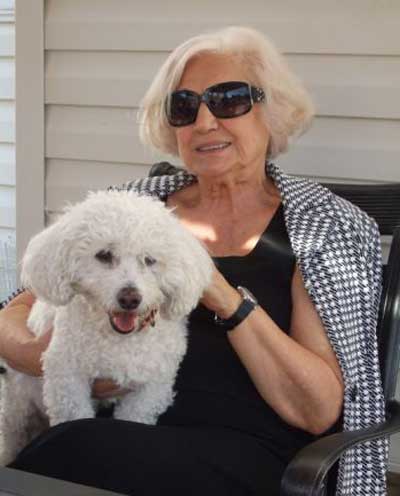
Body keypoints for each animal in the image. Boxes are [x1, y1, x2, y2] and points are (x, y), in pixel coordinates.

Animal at [0, 190, 214, 464]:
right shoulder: (66, 379)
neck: (117, 338)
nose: (130, 299)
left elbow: (135, 416)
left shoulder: (151, 389)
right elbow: (76, 419)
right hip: (16, 411)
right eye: (104, 255)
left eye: (149, 260)